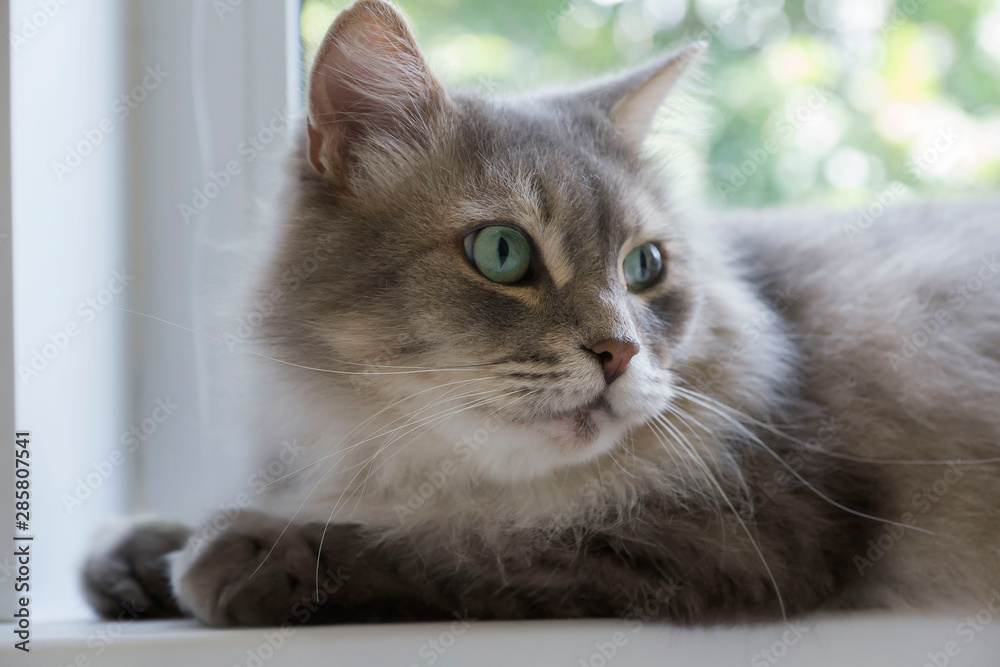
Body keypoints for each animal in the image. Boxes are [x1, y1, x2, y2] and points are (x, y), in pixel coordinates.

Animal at [84, 0, 1000, 628]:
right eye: (501, 252)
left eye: (644, 268)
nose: (619, 353)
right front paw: (135, 557)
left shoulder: (731, 533)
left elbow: (459, 540)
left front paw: (239, 551)